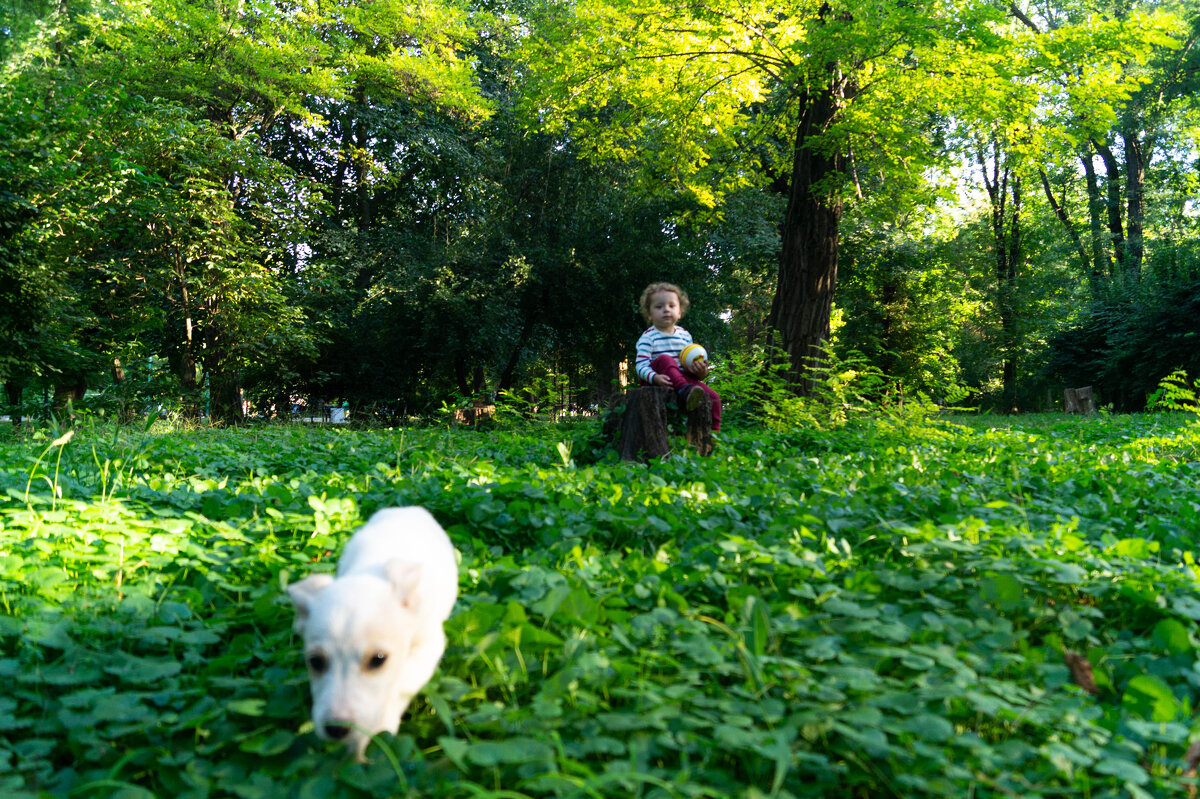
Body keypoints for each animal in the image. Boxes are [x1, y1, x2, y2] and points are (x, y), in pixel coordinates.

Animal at [288, 506, 456, 758]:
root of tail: (408, 508)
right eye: (315, 661)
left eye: (378, 660)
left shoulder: (428, 646)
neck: (369, 574)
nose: (336, 729)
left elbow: (399, 687)